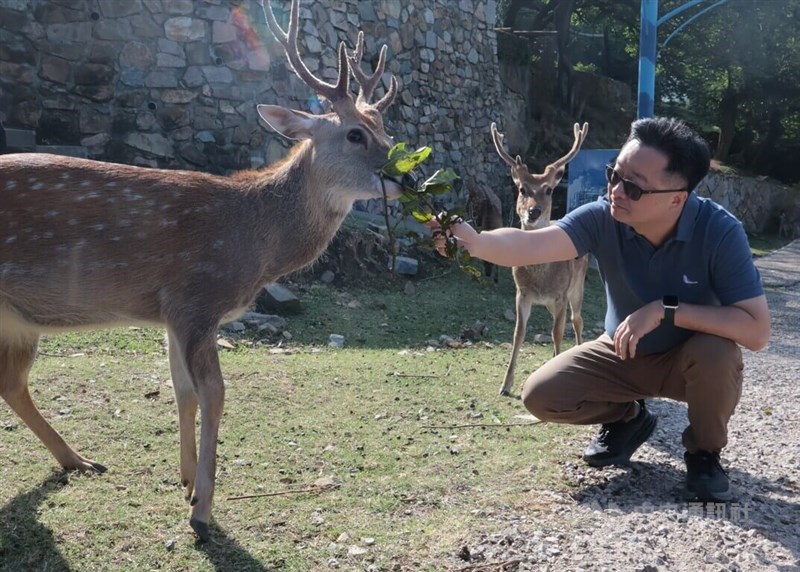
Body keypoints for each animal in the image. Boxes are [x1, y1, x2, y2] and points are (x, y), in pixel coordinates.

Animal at [0, 0, 412, 544]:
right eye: (355, 133)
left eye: (389, 132)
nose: (410, 177)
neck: (251, 240)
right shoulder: (196, 297)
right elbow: (213, 394)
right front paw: (203, 510)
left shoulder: (170, 312)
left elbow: (182, 391)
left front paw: (187, 479)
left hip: (17, 319)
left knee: (11, 383)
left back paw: (78, 460)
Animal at [490, 122, 592, 398]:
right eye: (522, 189)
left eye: (548, 189)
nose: (533, 211)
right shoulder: (522, 293)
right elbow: (519, 333)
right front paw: (505, 385)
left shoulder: (561, 294)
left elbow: (557, 333)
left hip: (578, 285)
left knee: (576, 320)